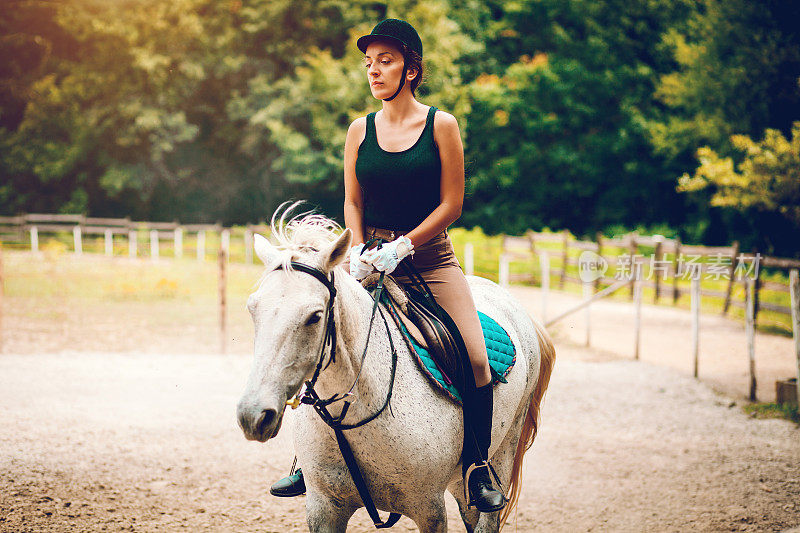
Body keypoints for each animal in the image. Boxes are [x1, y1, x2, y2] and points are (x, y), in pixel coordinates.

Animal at [234, 213, 552, 532]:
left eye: (315, 316)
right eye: (252, 309)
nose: (253, 415)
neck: (355, 412)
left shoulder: (430, 509)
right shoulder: (323, 507)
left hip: (503, 451)